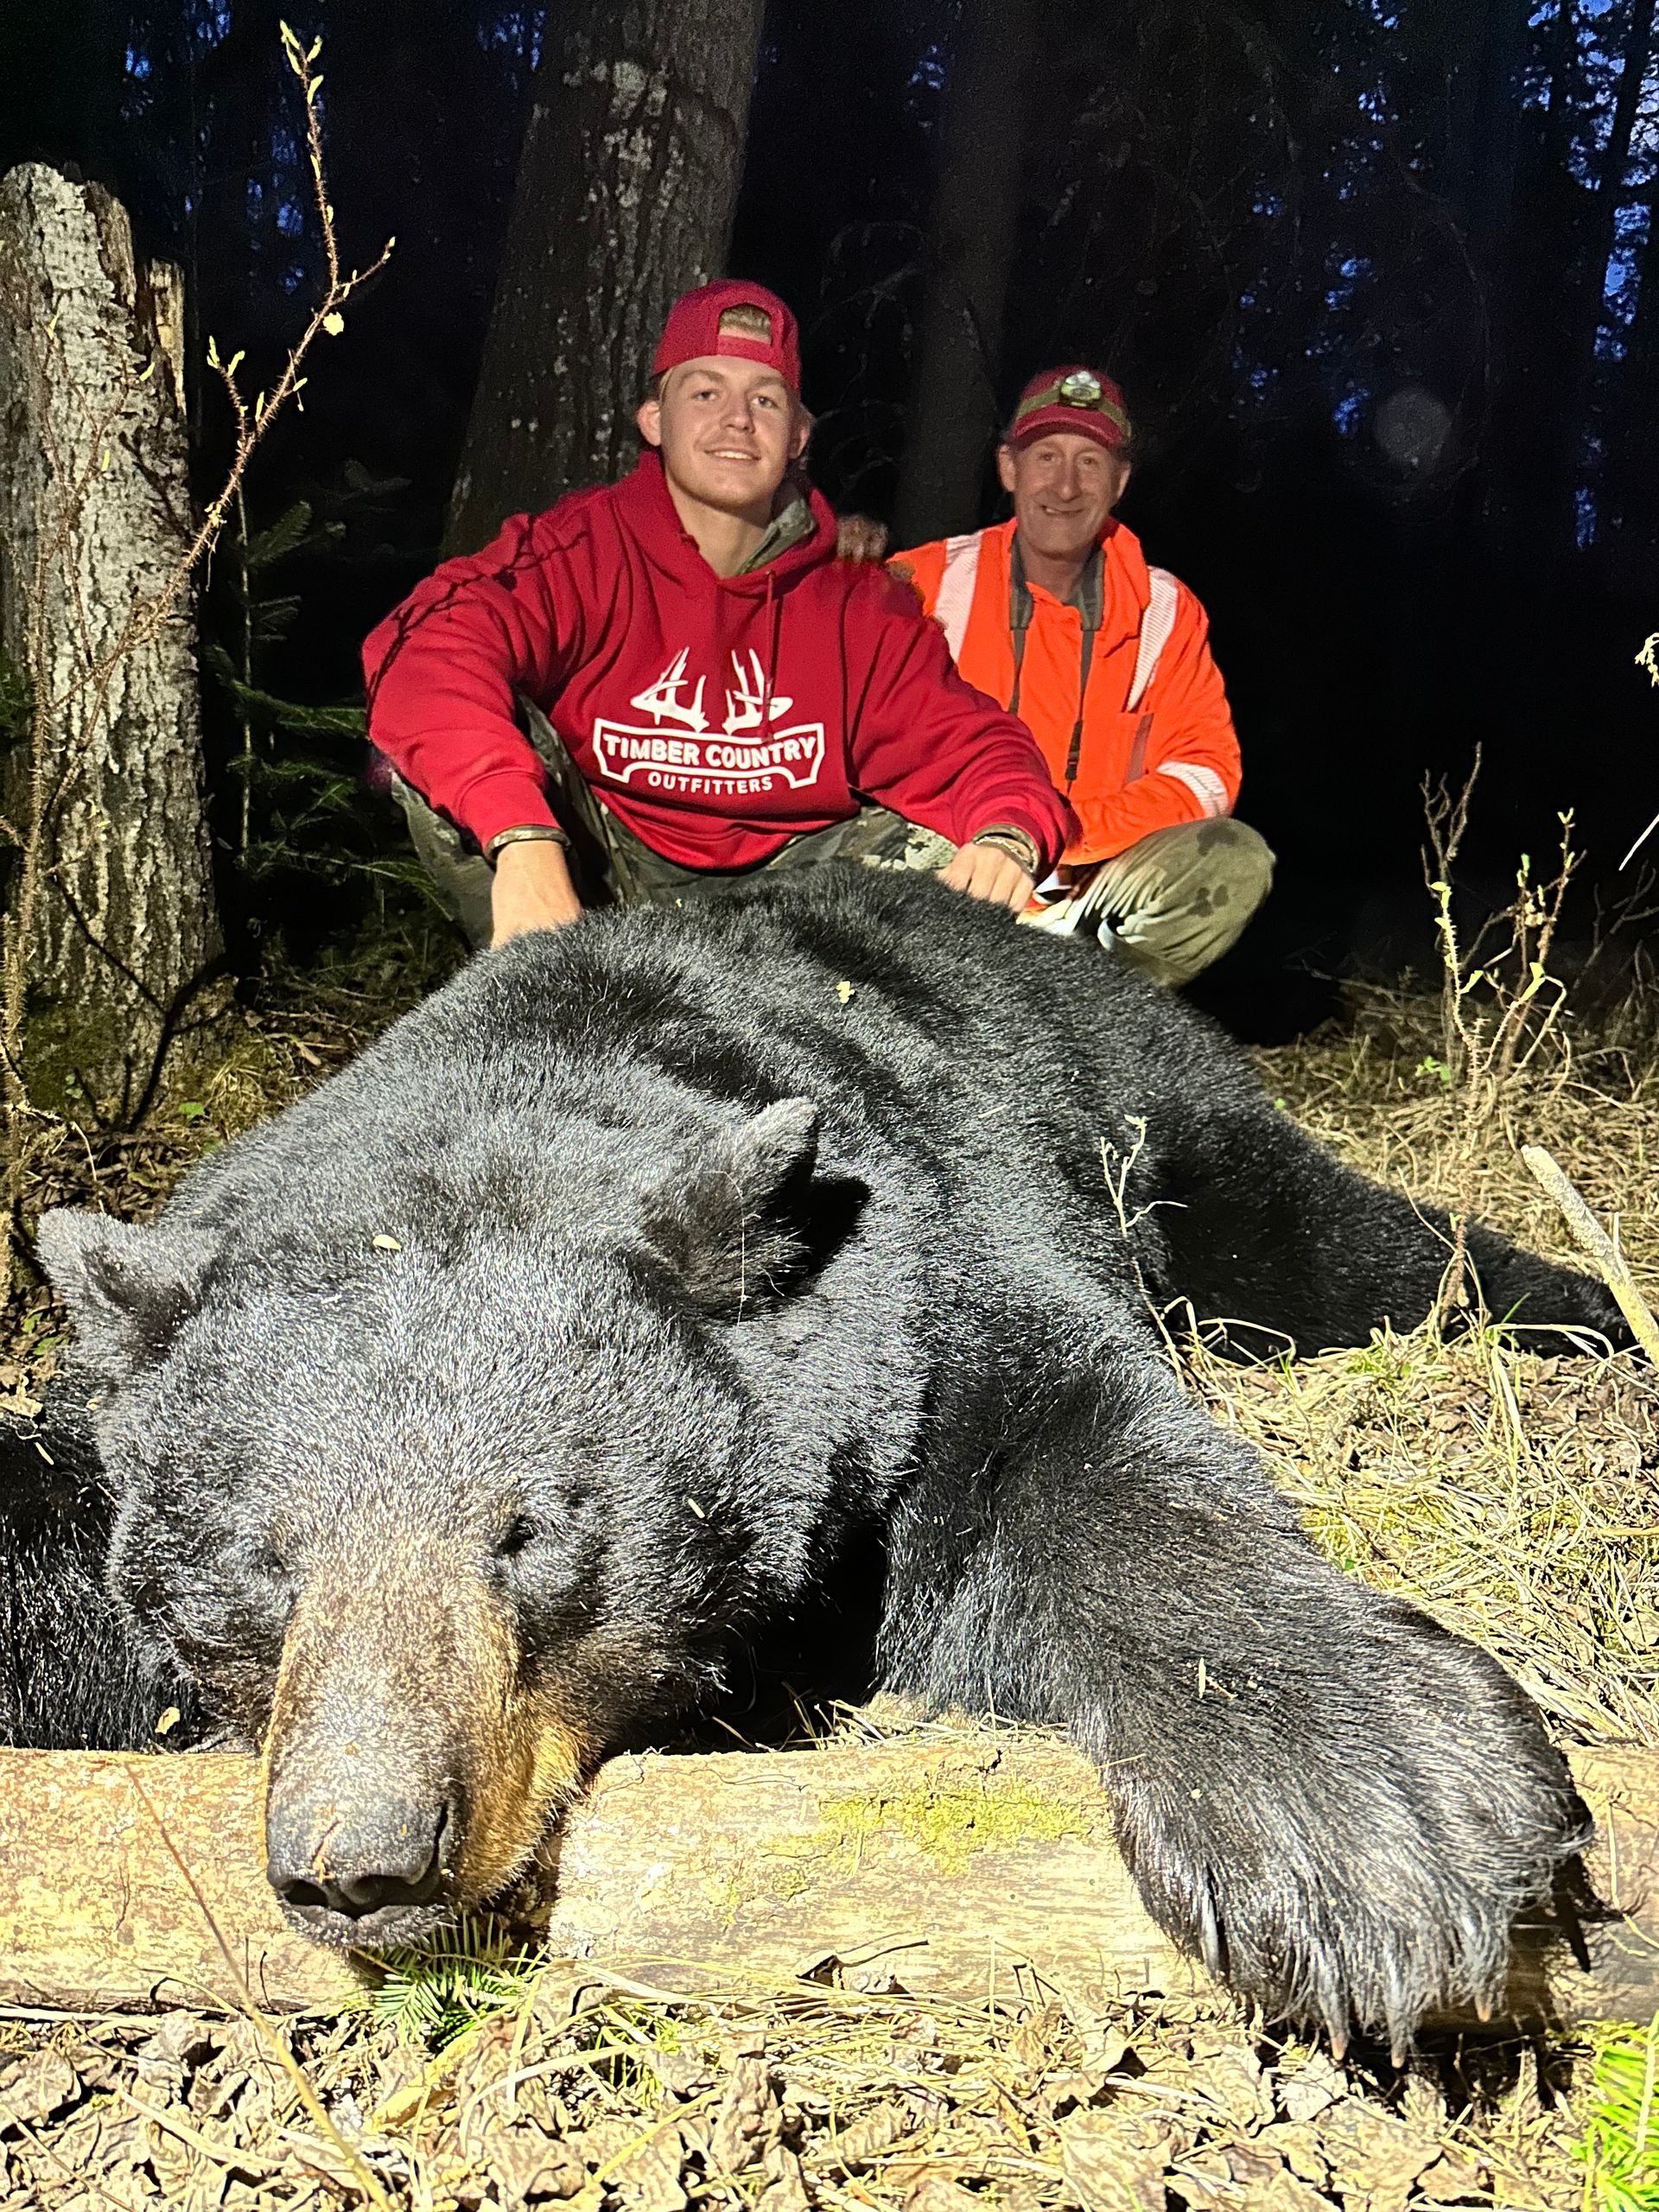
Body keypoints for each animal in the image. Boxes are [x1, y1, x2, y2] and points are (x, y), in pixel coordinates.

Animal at [15, 865, 1622, 2057]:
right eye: (258, 1565)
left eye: (532, 1537)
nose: (365, 1858)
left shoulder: (920, 1288)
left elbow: (1063, 1453)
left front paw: (1371, 1819)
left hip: (1149, 1112)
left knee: (1330, 1235)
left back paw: (1587, 1312)